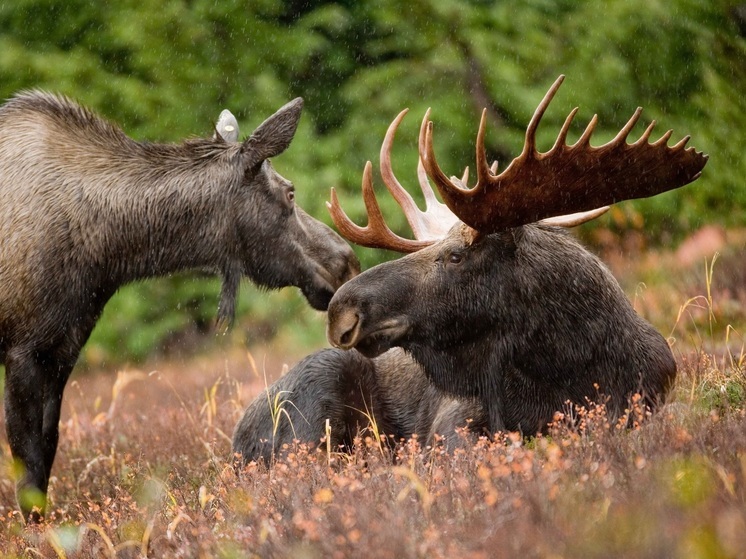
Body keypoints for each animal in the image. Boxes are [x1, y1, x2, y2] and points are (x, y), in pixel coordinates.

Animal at [0, 93, 360, 520]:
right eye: (290, 192)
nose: (347, 261)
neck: (105, 252)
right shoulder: (22, 349)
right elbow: (27, 461)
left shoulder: (62, 349)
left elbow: (48, 447)